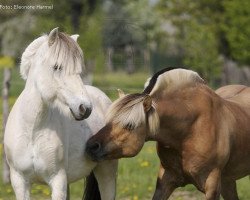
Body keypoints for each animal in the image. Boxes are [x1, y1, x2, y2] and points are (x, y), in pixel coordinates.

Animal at [3, 27, 117, 200]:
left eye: (79, 70)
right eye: (57, 67)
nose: (85, 108)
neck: (32, 129)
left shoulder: (58, 180)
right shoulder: (20, 182)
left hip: (107, 171)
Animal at [86, 67, 250, 200]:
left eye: (129, 125)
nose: (91, 146)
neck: (189, 131)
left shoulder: (212, 185)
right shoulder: (166, 181)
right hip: (228, 180)